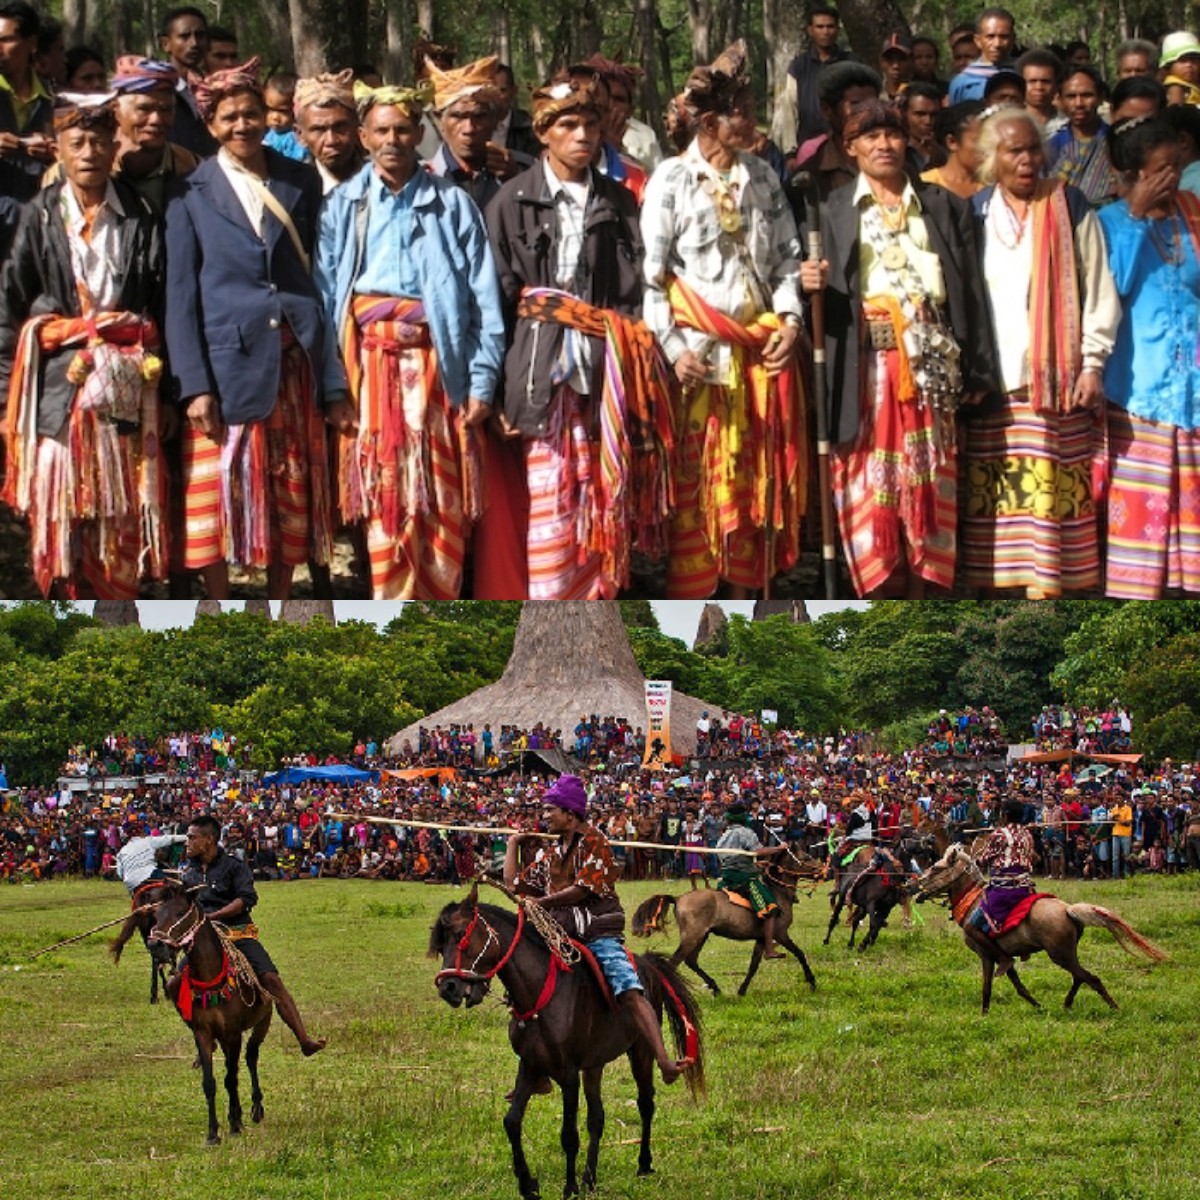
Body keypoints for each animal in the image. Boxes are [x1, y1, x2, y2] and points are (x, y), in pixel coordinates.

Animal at [147, 883, 274, 1142]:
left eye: (179, 913)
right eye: (156, 915)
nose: (155, 945)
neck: (211, 980)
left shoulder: (233, 1033)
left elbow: (231, 1078)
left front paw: (234, 1125)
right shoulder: (203, 1033)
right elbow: (210, 1082)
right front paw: (213, 1132)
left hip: (262, 1022)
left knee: (251, 1057)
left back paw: (256, 1108)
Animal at [432, 883, 700, 1200]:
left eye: (461, 935)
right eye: (440, 945)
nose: (448, 988)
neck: (539, 991)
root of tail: (648, 965)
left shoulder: (568, 1074)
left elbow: (568, 1135)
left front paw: (569, 1187)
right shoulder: (530, 1066)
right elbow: (512, 1122)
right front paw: (528, 1185)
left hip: (641, 1051)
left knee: (646, 1103)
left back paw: (644, 1163)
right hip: (594, 1064)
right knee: (597, 1118)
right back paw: (590, 1178)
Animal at [624, 859, 820, 998]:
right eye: (806, 858)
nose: (821, 872)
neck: (778, 892)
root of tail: (678, 899)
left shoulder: (761, 939)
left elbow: (753, 965)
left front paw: (742, 991)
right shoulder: (780, 934)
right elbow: (800, 953)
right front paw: (812, 981)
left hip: (701, 935)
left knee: (691, 961)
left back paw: (715, 987)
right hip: (693, 936)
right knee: (673, 964)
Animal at [907, 844, 1161, 1012]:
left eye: (936, 868)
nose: (912, 886)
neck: (972, 902)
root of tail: (1068, 910)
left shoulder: (986, 954)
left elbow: (987, 986)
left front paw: (984, 1014)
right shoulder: (1002, 955)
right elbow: (1017, 984)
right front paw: (1037, 1006)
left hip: (1060, 954)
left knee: (1091, 978)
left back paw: (1113, 1007)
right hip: (1066, 954)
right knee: (1080, 977)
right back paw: (1067, 1003)